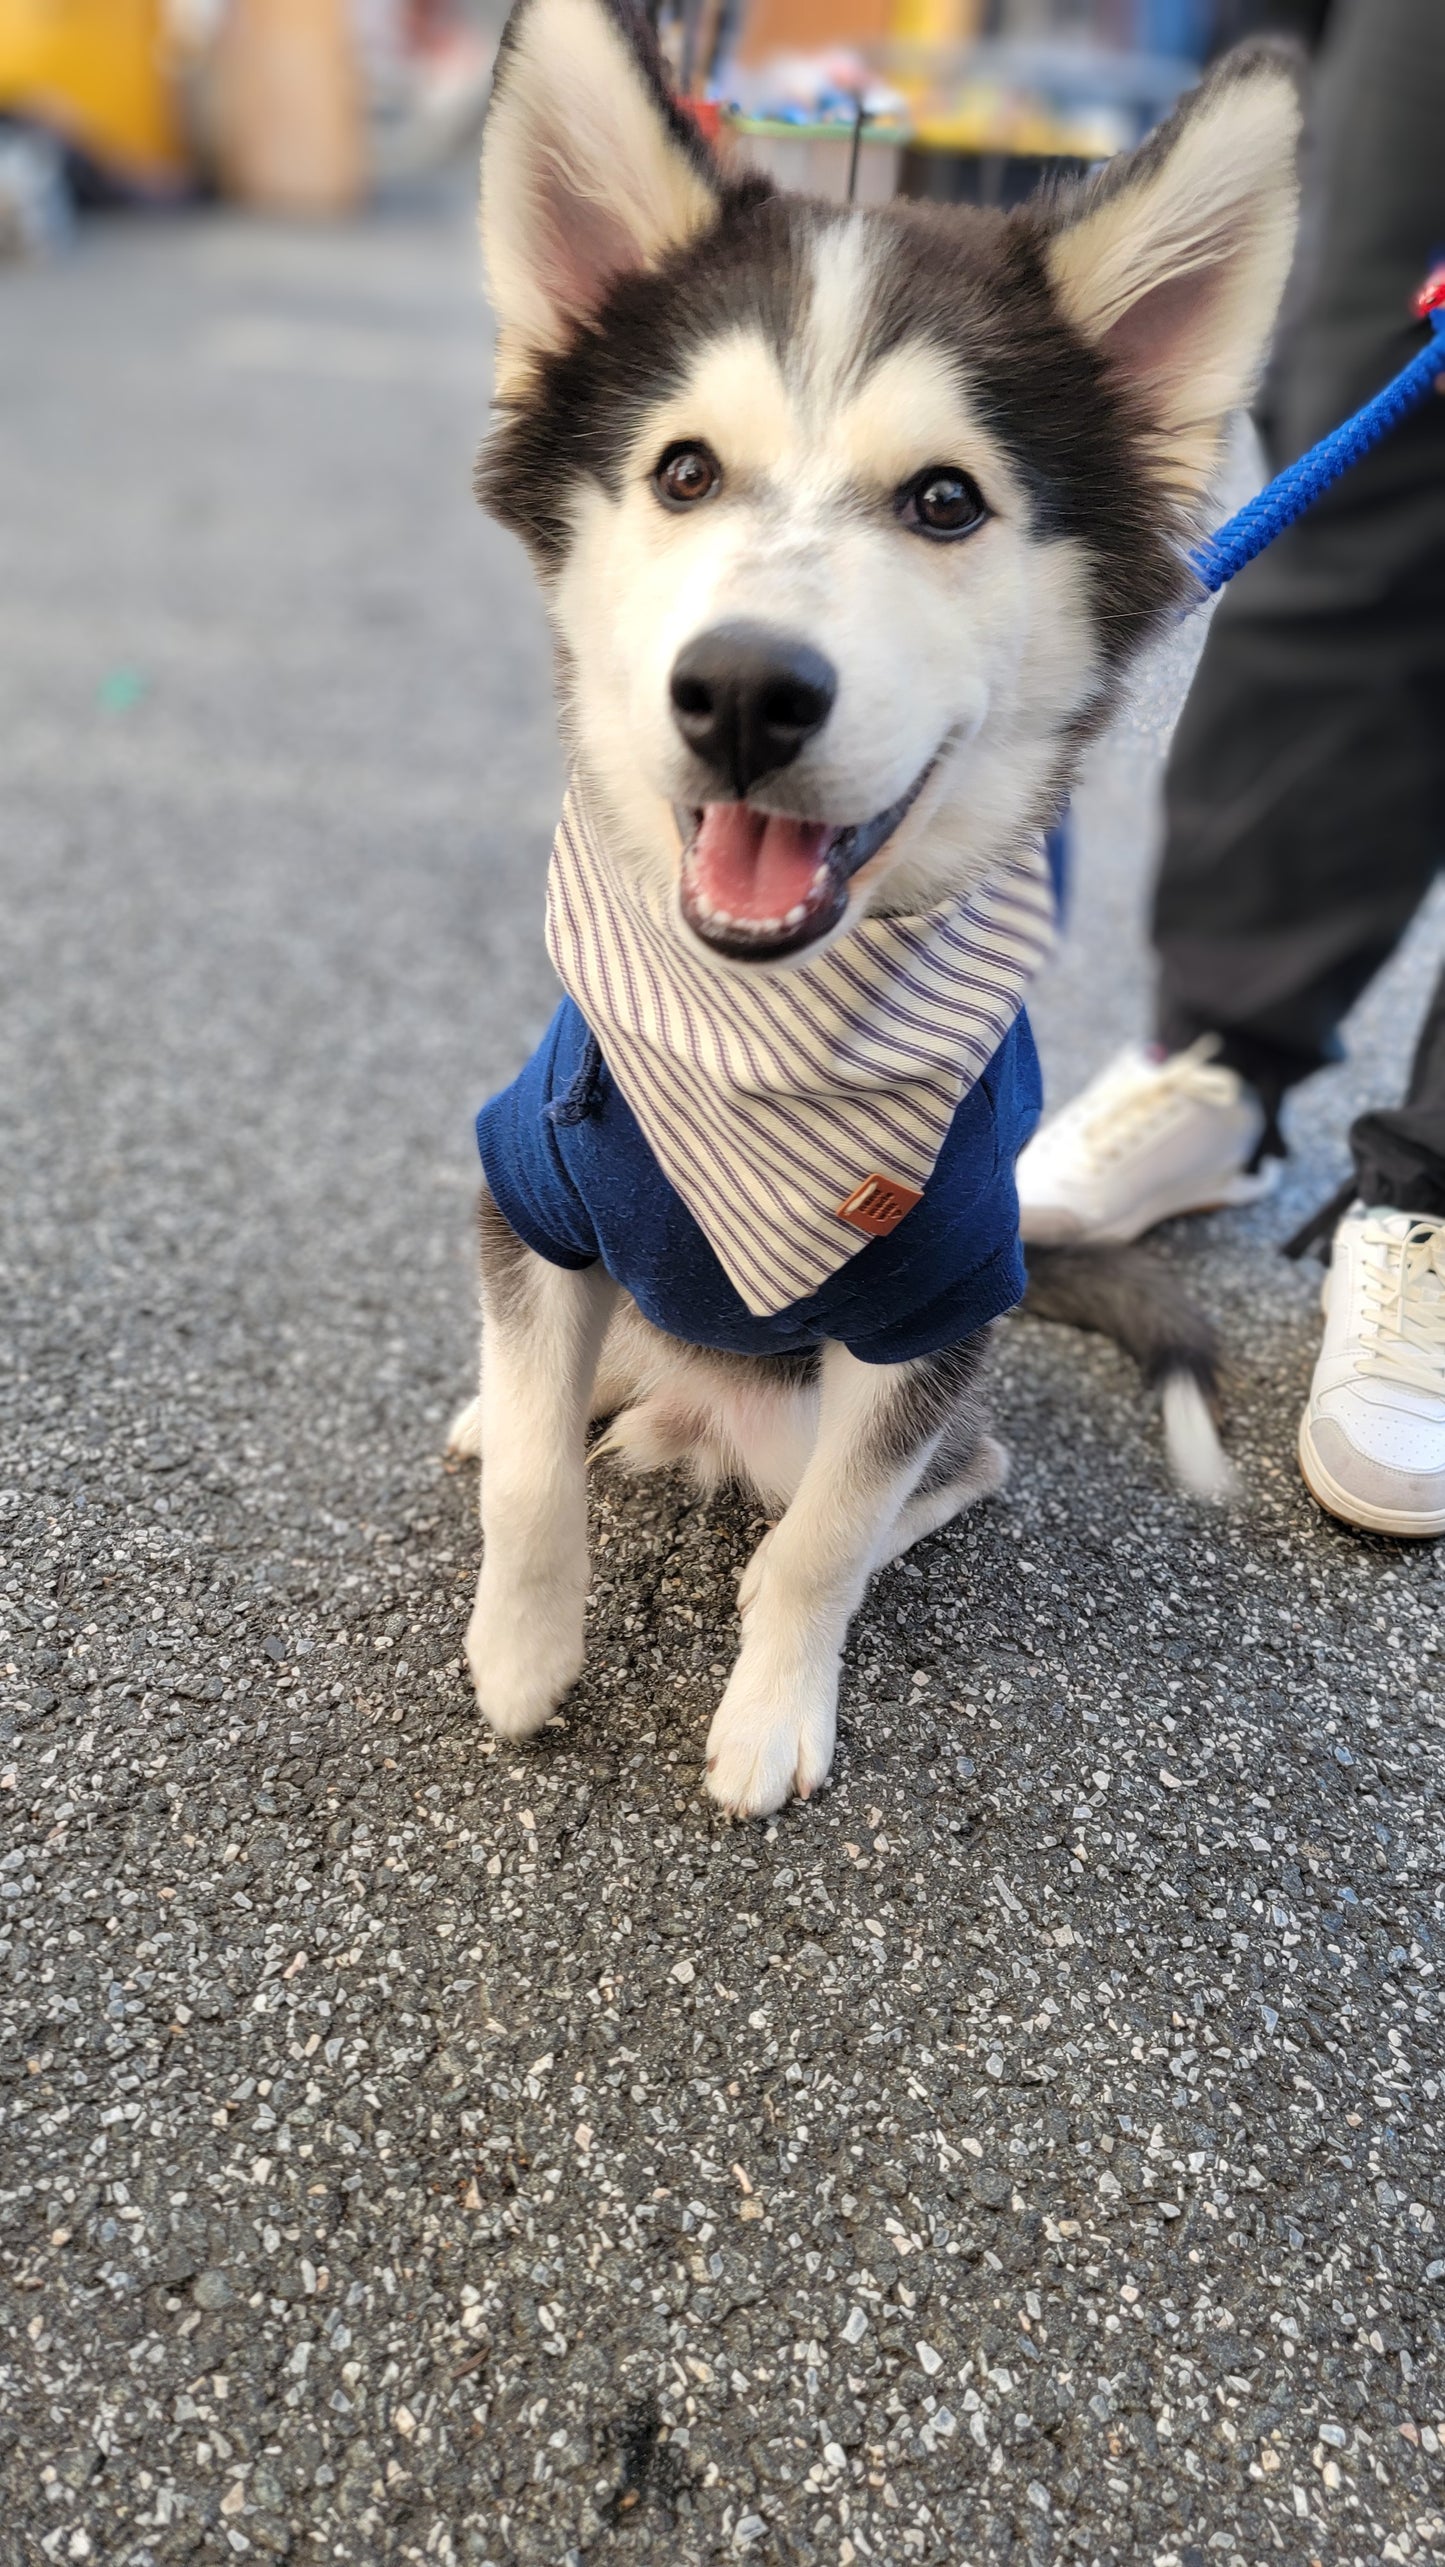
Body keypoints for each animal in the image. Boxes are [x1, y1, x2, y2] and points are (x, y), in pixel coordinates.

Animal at [449, 0, 1298, 1807]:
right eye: (683, 472)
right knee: (575, 1387)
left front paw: (773, 1705)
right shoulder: (528, 1184)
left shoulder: (934, 1303)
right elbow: (539, 1473)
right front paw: (524, 1648)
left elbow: (829, 1539)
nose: (743, 693)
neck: (758, 1024)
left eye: (945, 502)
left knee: (936, 1475)